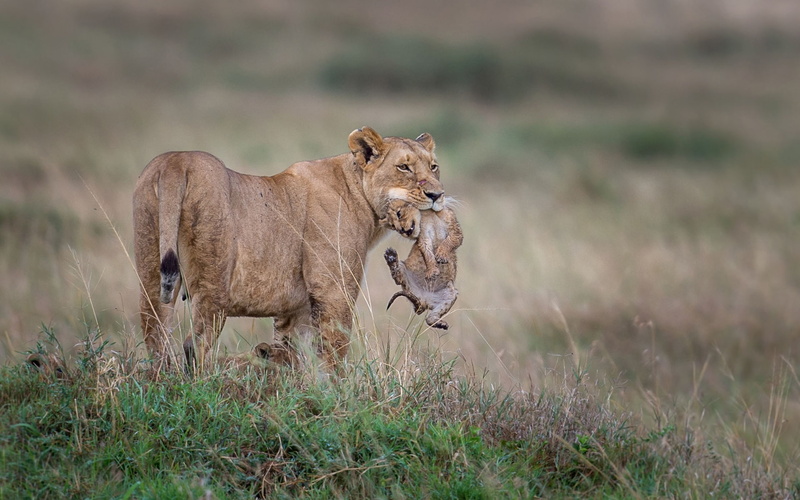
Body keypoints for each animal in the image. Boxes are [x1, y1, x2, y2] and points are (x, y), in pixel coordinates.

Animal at [133, 127, 447, 371]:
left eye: (433, 166)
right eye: (404, 167)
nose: (437, 194)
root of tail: (176, 161)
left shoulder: (296, 308)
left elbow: (295, 353)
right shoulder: (333, 289)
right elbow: (335, 349)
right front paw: (338, 396)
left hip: (151, 267)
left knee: (155, 335)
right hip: (214, 280)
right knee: (194, 344)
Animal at [382, 198, 462, 330]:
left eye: (399, 213)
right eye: (392, 225)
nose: (401, 230)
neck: (431, 213)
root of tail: (423, 300)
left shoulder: (455, 230)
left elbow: (449, 242)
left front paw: (441, 255)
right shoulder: (423, 236)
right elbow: (427, 254)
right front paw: (432, 271)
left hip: (450, 294)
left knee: (430, 318)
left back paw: (440, 324)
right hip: (404, 274)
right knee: (397, 278)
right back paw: (391, 257)